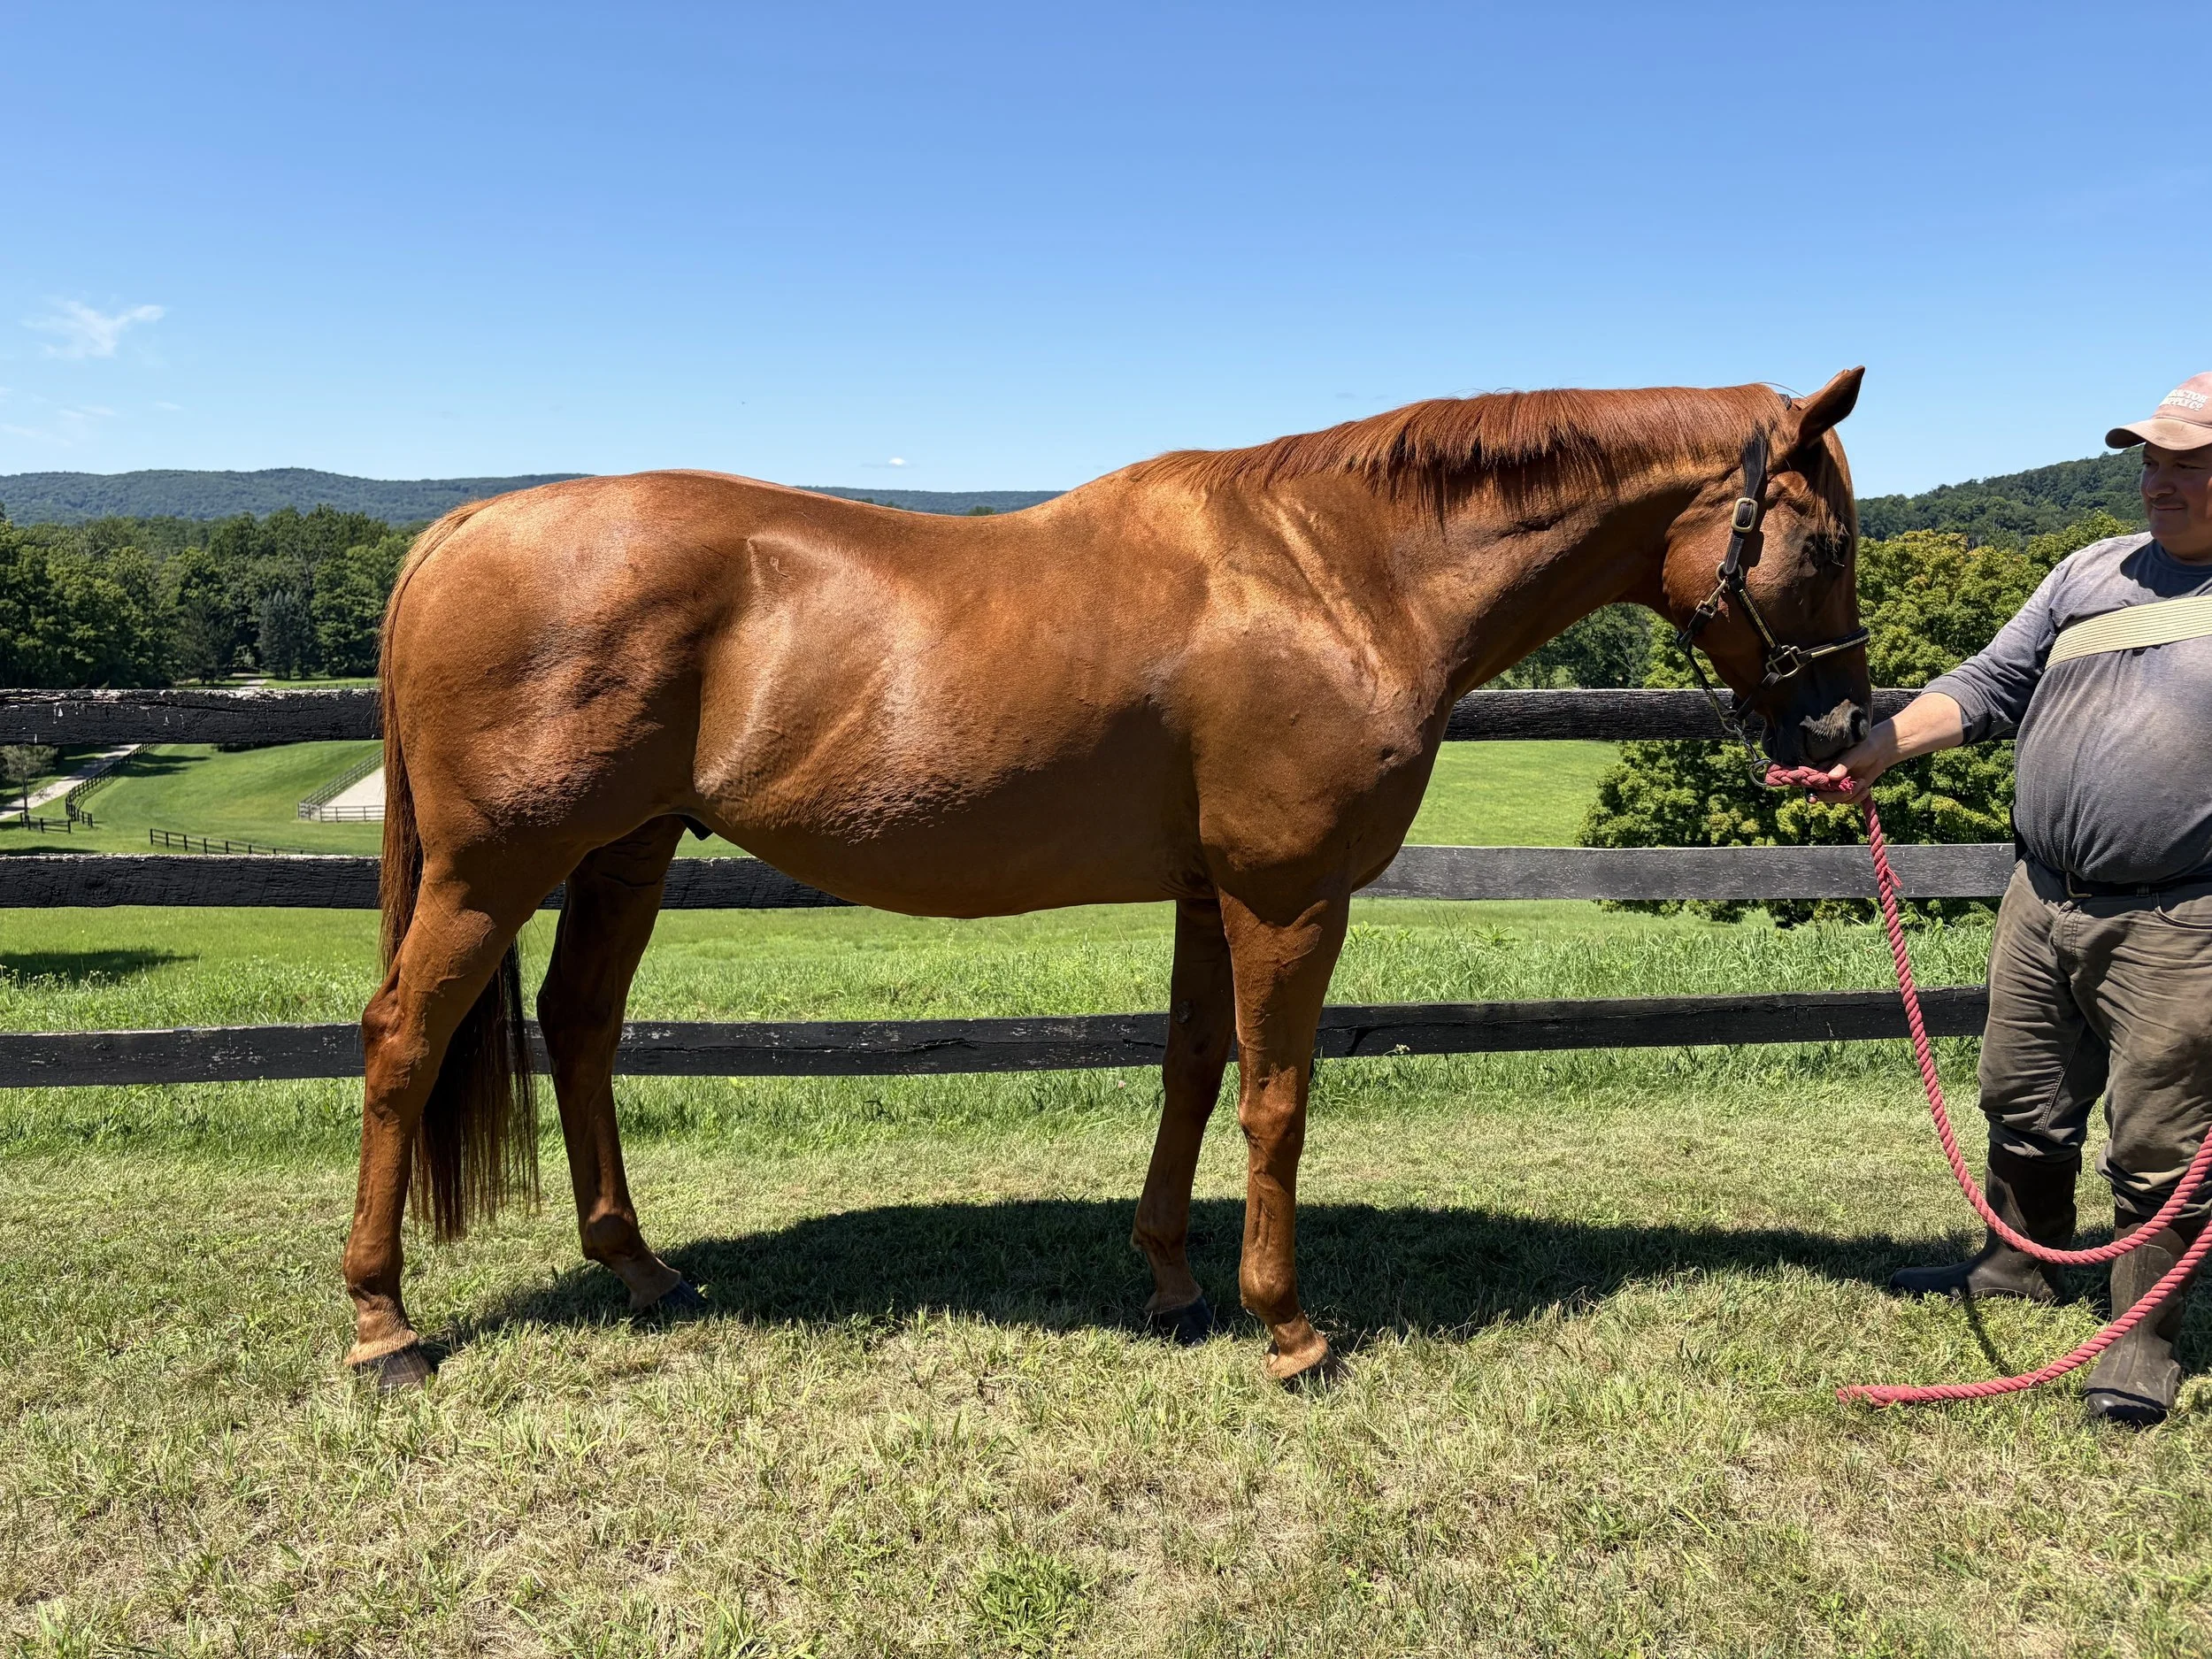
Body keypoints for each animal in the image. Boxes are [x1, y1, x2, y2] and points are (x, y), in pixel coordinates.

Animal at [343, 369, 1872, 1390]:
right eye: (1827, 538)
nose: (1842, 727)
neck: (1335, 573)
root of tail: (465, 526)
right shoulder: (1289, 894)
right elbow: (1276, 1096)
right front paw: (1287, 1326)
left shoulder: (1212, 890)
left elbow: (1192, 1066)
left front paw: (1174, 1282)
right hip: (491, 867)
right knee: (404, 1039)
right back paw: (384, 1322)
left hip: (630, 848)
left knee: (582, 1024)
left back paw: (641, 1267)